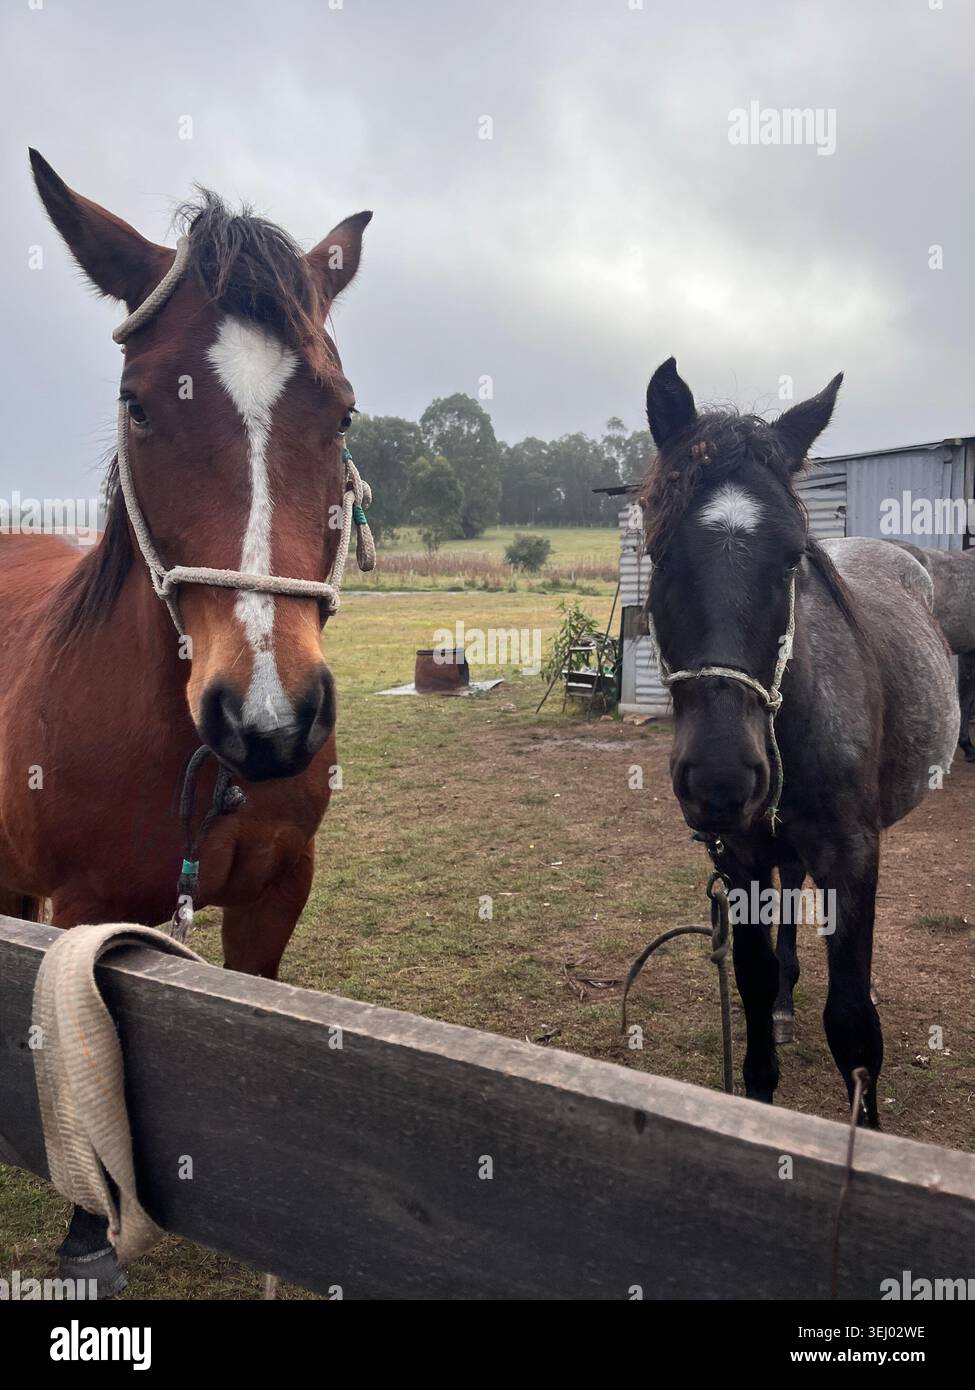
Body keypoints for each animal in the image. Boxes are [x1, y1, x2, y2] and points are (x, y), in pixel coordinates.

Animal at [1, 150, 372, 1293]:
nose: (267, 716)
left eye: (341, 411)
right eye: (137, 403)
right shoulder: (84, 913)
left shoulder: (276, 895)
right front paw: (87, 1233)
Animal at [640, 358, 957, 1125]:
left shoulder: (853, 856)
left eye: (791, 559)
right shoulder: (740, 855)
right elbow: (751, 986)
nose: (721, 777)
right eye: (660, 552)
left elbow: (853, 1022)